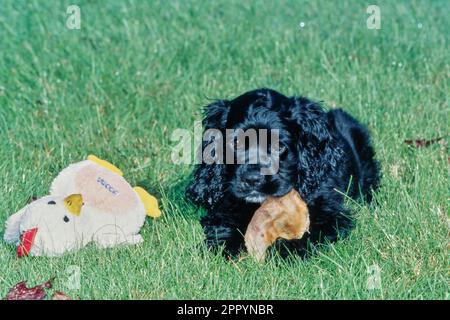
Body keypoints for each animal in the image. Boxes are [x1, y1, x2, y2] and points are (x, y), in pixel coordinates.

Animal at [186, 87, 380, 258]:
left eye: (279, 146)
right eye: (237, 143)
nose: (253, 180)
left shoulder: (329, 212)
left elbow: (307, 231)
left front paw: (286, 251)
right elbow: (225, 222)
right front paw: (223, 245)